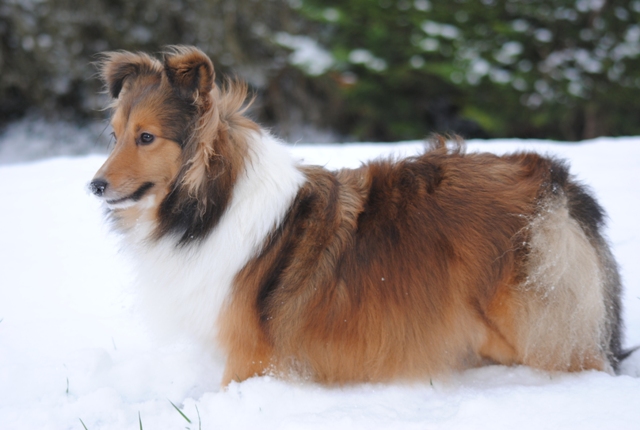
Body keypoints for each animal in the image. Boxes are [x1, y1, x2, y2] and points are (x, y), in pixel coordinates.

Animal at [90, 45, 624, 384]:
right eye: (114, 135)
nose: (94, 186)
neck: (213, 204)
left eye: (146, 137)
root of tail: (554, 180)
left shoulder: (249, 356)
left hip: (534, 321)